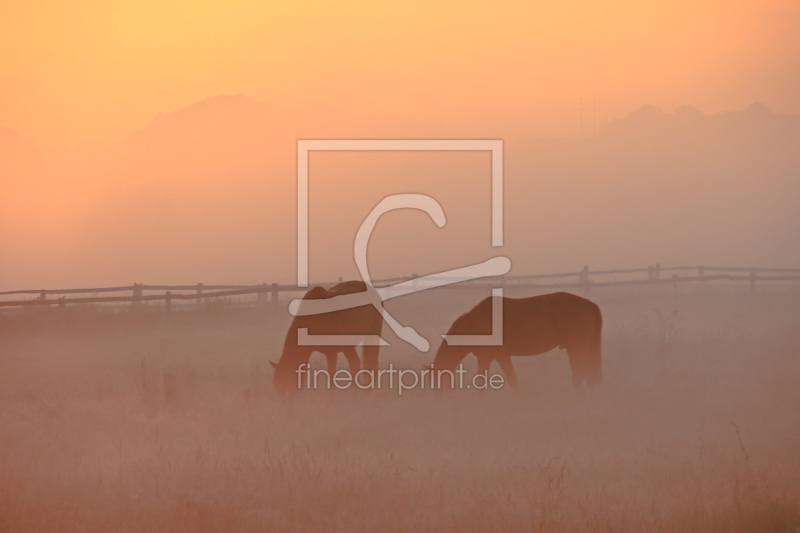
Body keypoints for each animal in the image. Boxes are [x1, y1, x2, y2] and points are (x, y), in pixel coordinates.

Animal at [432, 290, 600, 390]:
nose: (438, 403)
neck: (475, 323)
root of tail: (588, 304)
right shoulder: (502, 356)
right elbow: (513, 381)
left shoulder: (486, 357)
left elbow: (482, 382)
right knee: (589, 374)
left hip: (576, 348)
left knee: (580, 374)